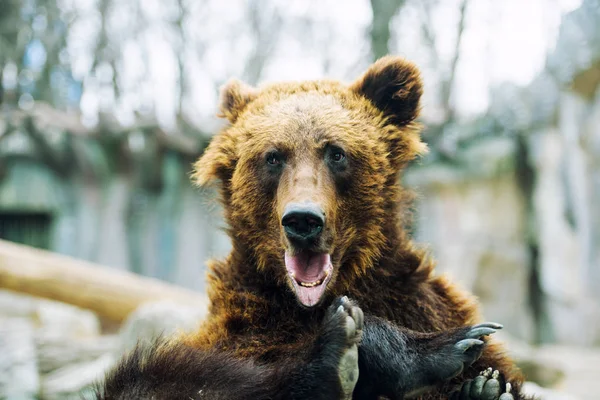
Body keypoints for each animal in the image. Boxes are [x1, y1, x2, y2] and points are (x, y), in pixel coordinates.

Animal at [97, 57, 524, 400]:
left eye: (336, 153)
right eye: (272, 156)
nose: (303, 219)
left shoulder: (417, 299)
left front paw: (481, 376)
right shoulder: (244, 326)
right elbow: (189, 377)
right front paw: (440, 348)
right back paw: (335, 360)